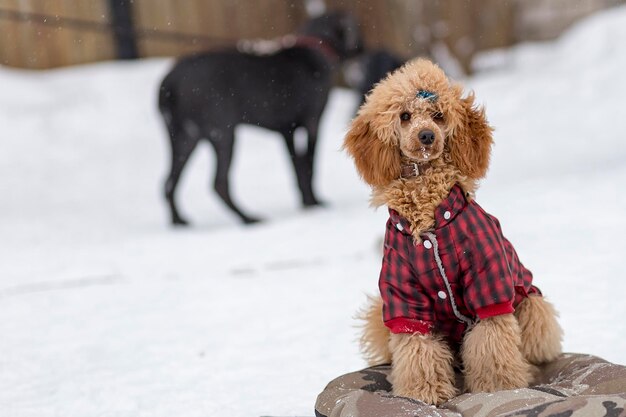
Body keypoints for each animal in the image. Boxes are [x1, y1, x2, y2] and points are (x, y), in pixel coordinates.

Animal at [157, 12, 360, 224]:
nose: (362, 50)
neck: (314, 49)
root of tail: (170, 81)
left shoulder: (287, 131)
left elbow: (297, 168)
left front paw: (306, 203)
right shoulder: (312, 123)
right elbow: (309, 166)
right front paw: (315, 203)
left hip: (184, 138)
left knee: (168, 182)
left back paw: (178, 221)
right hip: (222, 133)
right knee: (219, 183)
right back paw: (247, 219)